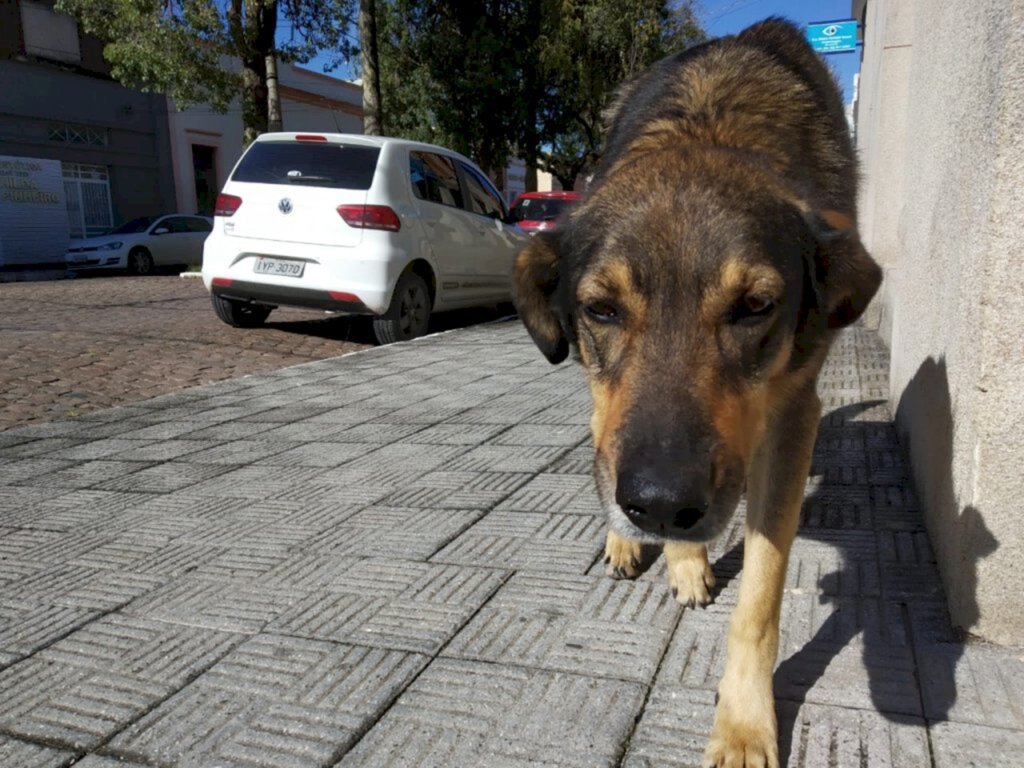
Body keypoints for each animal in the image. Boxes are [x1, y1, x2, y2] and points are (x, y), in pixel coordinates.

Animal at [516, 18, 884, 768]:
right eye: (601, 310)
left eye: (755, 307)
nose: (659, 504)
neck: (708, 125)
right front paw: (657, 548)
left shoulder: (792, 415)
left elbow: (762, 599)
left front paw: (744, 723)